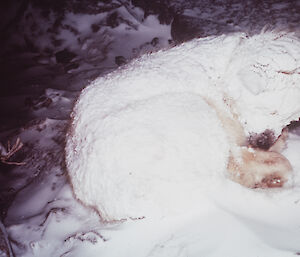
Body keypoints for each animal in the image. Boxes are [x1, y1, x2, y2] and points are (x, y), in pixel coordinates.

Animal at [65, 31, 300, 220]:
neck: (223, 80)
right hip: (193, 109)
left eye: (289, 117)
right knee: (236, 165)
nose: (263, 142)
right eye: (270, 110)